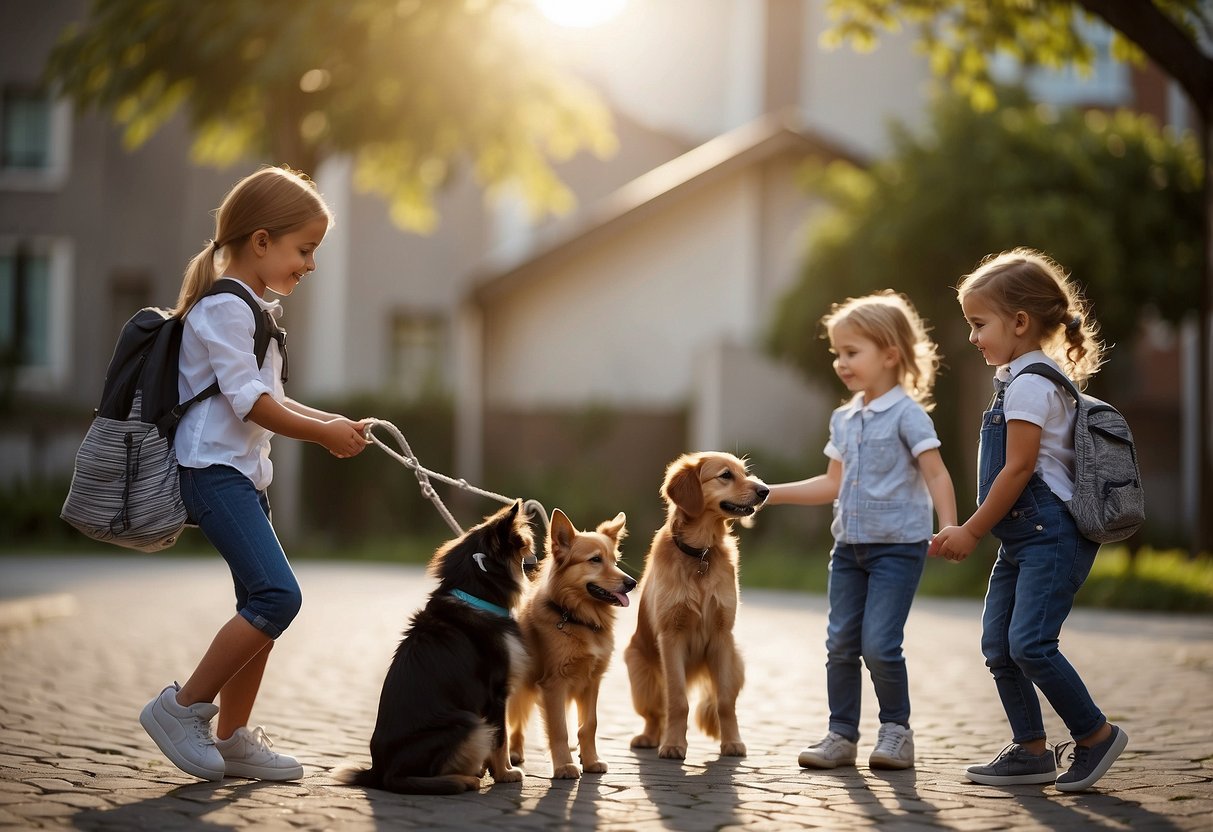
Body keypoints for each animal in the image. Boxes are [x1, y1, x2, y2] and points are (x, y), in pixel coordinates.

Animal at [339, 502, 533, 795]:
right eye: (524, 549)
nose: (535, 561)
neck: (475, 593)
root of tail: (378, 771)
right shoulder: (498, 692)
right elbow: (501, 738)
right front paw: (505, 773)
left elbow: (497, 739)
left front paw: (491, 769)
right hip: (465, 722)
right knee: (406, 779)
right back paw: (463, 780)